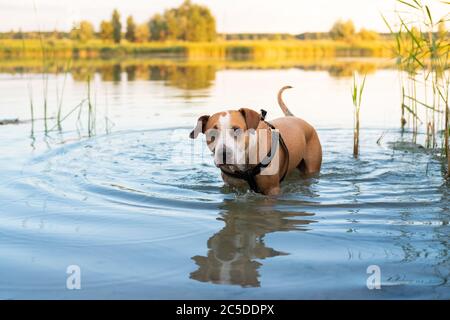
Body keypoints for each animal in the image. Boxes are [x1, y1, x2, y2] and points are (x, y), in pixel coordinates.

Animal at [188, 85, 322, 195]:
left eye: (236, 129)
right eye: (211, 133)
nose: (224, 154)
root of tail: (297, 118)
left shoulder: (271, 190)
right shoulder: (231, 187)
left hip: (312, 166)